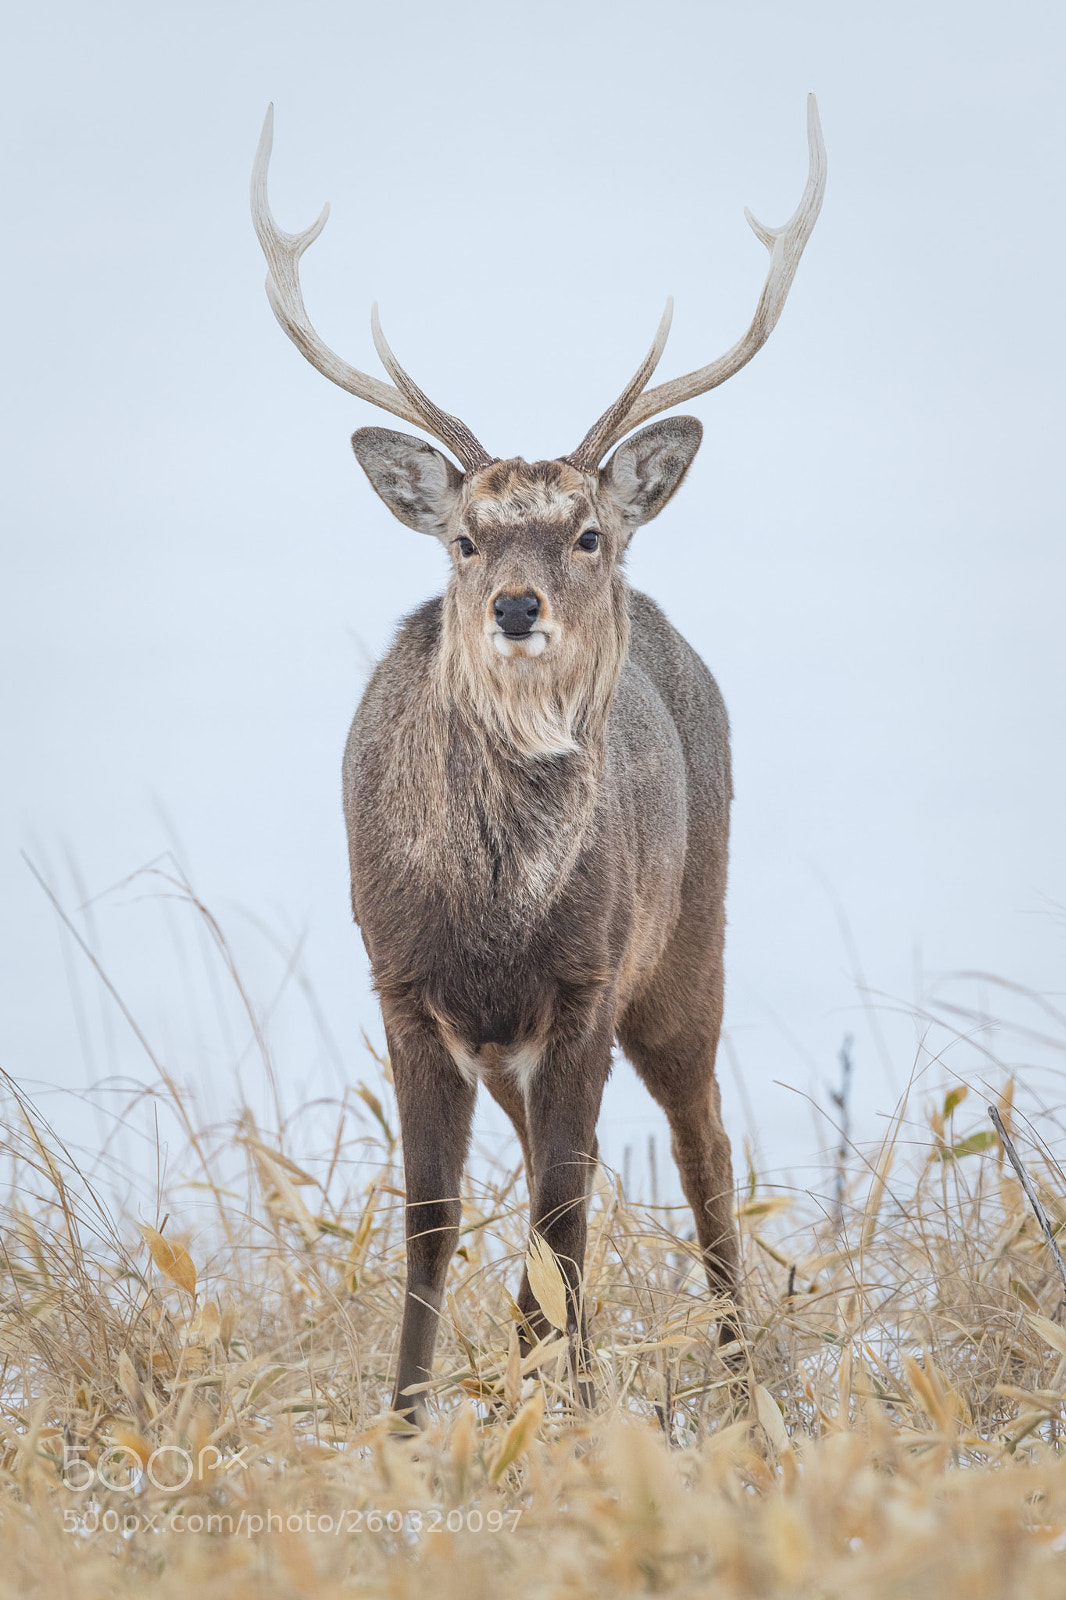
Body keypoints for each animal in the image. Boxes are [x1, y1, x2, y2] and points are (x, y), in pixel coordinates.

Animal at [251, 97, 825, 1425]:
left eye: (587, 531)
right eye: (464, 537)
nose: (517, 605)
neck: (489, 913)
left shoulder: (585, 982)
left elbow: (560, 1215)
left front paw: (572, 1414)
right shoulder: (401, 983)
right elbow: (433, 1217)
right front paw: (409, 1424)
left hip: (687, 942)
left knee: (694, 1151)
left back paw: (738, 1378)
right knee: (560, 1177)